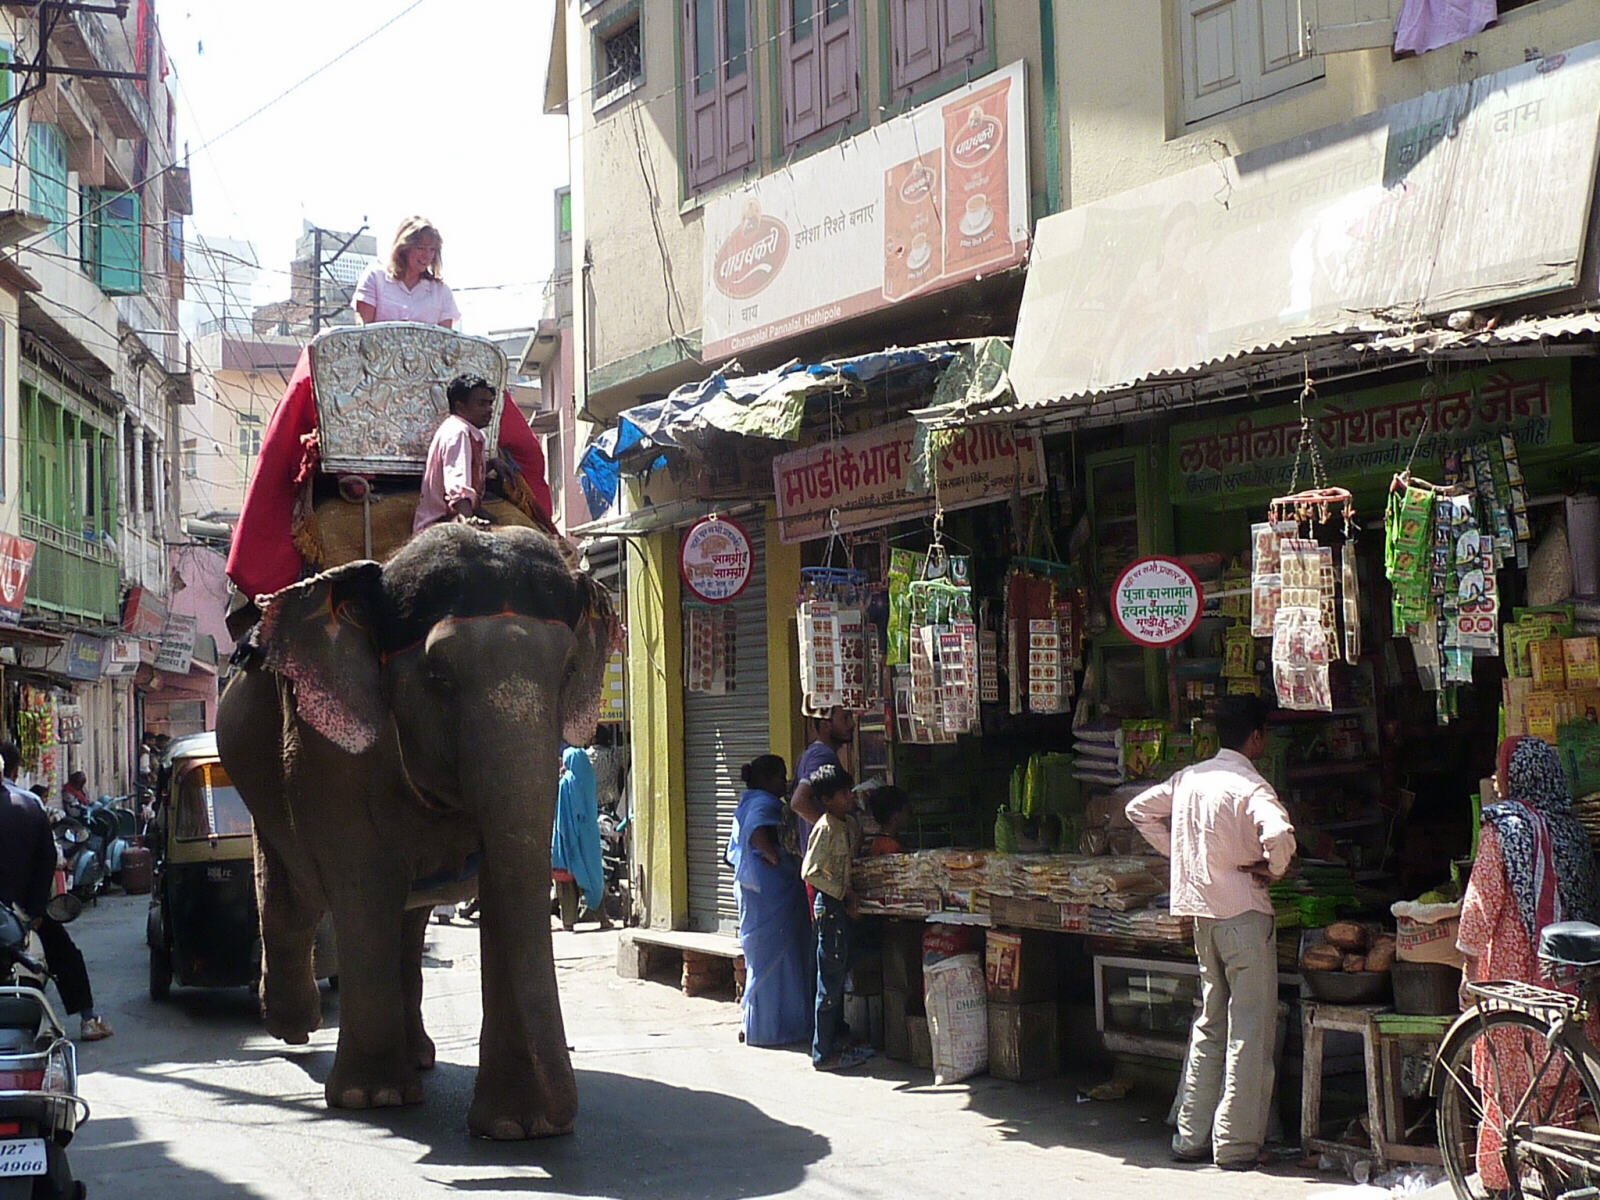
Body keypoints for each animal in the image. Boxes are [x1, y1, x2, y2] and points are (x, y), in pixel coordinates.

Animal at [222, 524, 620, 1139]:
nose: (560, 1122)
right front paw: (372, 1098)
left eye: (568, 675)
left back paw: (419, 1056)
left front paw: (515, 1128)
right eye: (438, 678)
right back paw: (294, 1028)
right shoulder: (328, 755)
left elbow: (504, 883)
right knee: (294, 896)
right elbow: (363, 889)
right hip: (259, 782)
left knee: (407, 920)